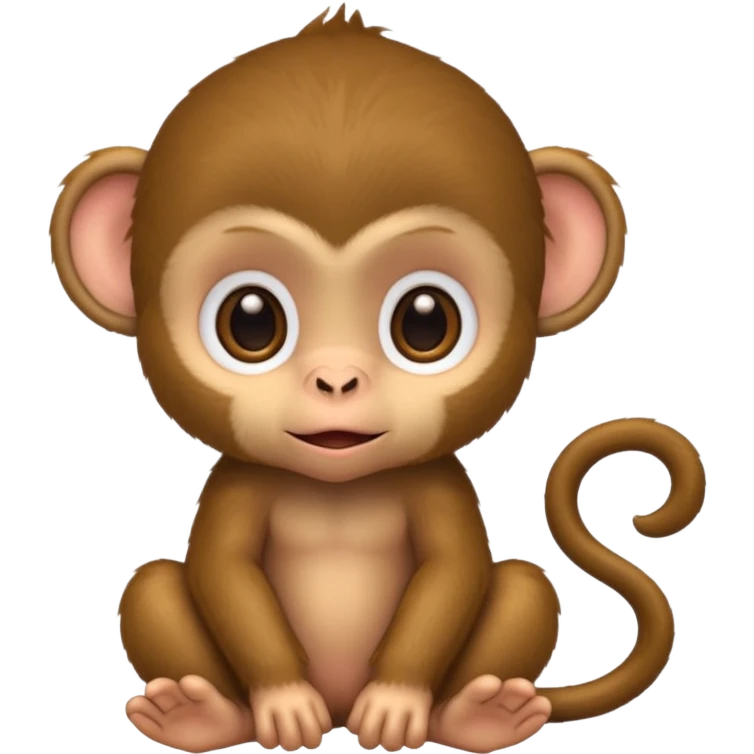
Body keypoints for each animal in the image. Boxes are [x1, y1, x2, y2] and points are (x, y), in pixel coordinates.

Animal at [49, 5, 707, 753]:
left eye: (426, 322)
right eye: (250, 320)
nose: (338, 379)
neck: (339, 489)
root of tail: (340, 709)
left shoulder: (439, 484)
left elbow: (453, 571)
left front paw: (396, 702)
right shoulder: (238, 484)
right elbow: (224, 570)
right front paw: (284, 703)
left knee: (524, 587)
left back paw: (477, 714)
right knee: (153, 585)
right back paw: (203, 713)